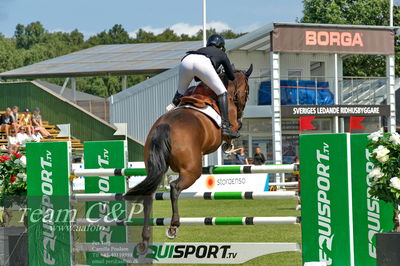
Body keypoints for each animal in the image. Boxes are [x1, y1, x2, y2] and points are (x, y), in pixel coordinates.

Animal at [125, 65, 252, 254]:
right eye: (248, 91)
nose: (242, 111)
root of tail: (164, 126)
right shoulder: (232, 122)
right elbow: (234, 129)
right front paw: (229, 144)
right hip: (192, 171)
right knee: (175, 188)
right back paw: (173, 226)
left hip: (155, 168)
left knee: (149, 195)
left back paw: (145, 240)